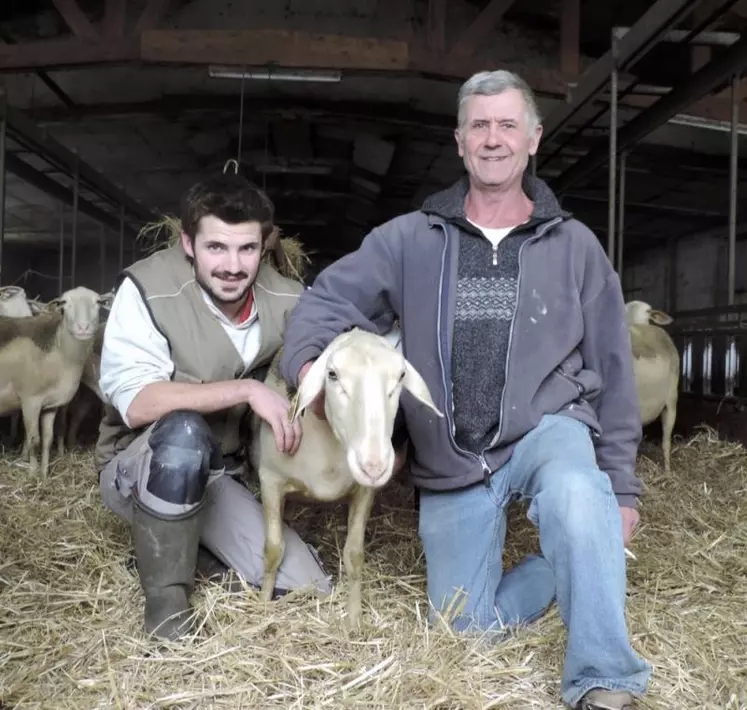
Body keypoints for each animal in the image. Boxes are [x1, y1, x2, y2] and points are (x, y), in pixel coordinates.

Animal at [0, 288, 103, 478]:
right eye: (64, 303)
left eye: (98, 302)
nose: (83, 327)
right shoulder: (30, 401)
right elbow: (34, 440)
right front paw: (32, 475)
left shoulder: (51, 405)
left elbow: (47, 439)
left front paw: (44, 475)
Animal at [250, 328, 444, 628]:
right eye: (332, 374)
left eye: (401, 376)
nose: (374, 465)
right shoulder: (270, 480)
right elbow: (272, 550)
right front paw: (262, 606)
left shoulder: (364, 491)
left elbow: (354, 555)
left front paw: (354, 619)